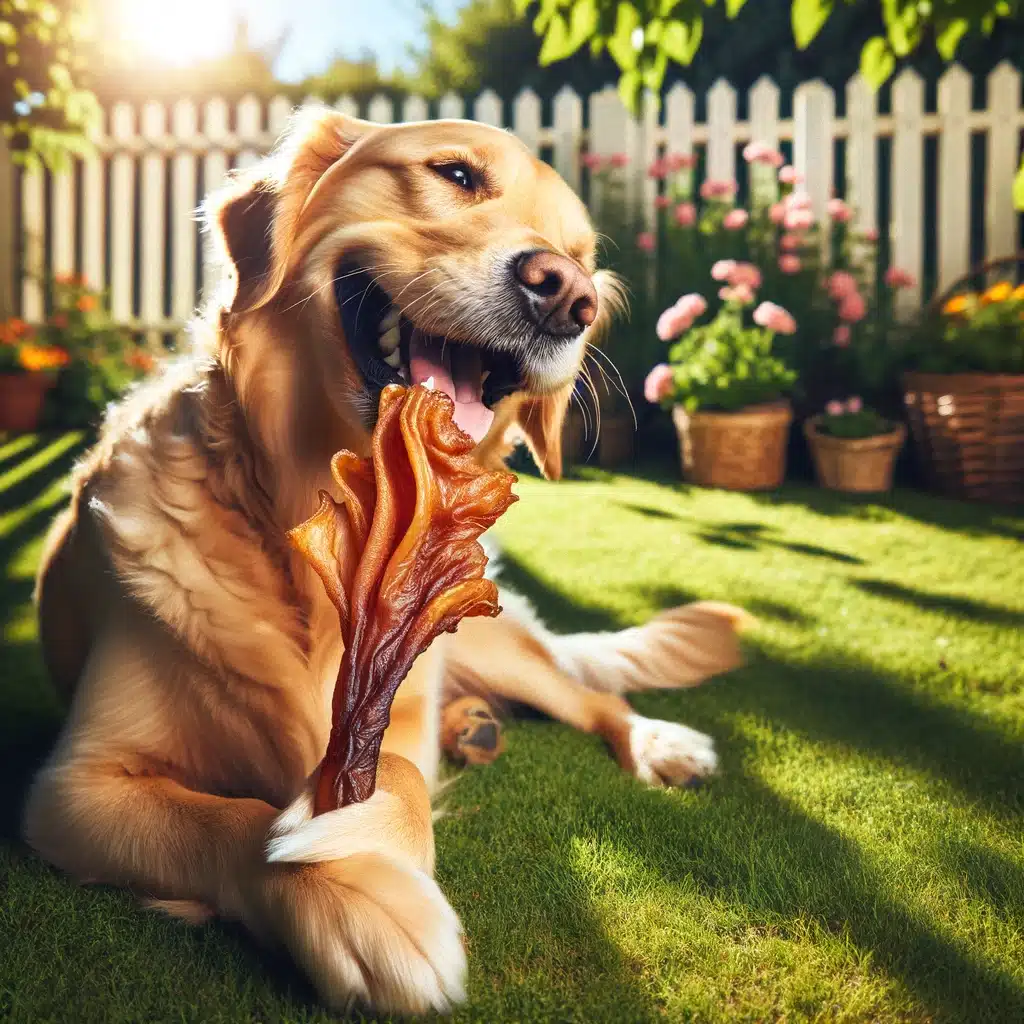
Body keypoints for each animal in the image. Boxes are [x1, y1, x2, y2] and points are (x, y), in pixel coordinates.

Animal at [22, 108, 745, 1011]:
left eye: (580, 257)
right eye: (457, 174)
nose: (566, 295)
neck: (318, 528)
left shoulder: (393, 699)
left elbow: (396, 775)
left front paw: (369, 860)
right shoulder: (72, 790)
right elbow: (227, 818)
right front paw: (361, 899)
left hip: (493, 644)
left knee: (588, 696)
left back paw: (653, 743)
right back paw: (477, 728)